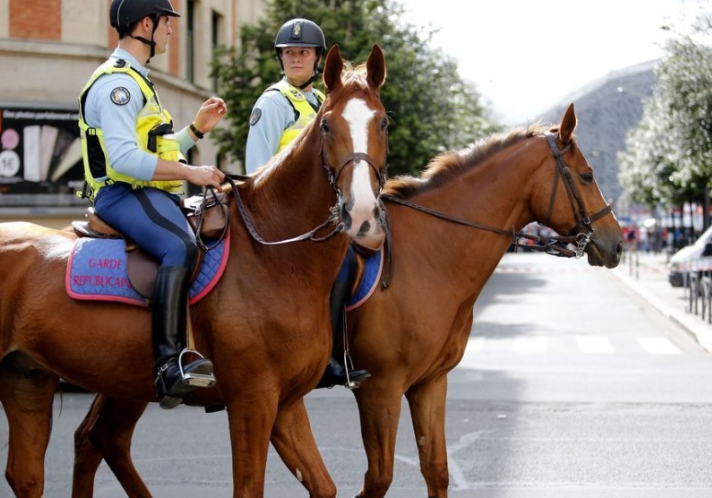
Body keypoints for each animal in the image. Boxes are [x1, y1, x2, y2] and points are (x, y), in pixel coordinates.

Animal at [0, 45, 390, 498]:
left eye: (384, 122)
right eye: (327, 125)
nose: (361, 215)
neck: (275, 257)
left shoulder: (286, 403)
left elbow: (324, 486)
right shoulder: (252, 399)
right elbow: (249, 487)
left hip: (35, 379)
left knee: (53, 462)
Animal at [69, 105, 620, 498]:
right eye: (588, 175)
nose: (614, 243)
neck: (432, 252)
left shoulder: (430, 384)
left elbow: (436, 470)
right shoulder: (380, 388)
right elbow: (378, 479)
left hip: (123, 377)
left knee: (97, 439)